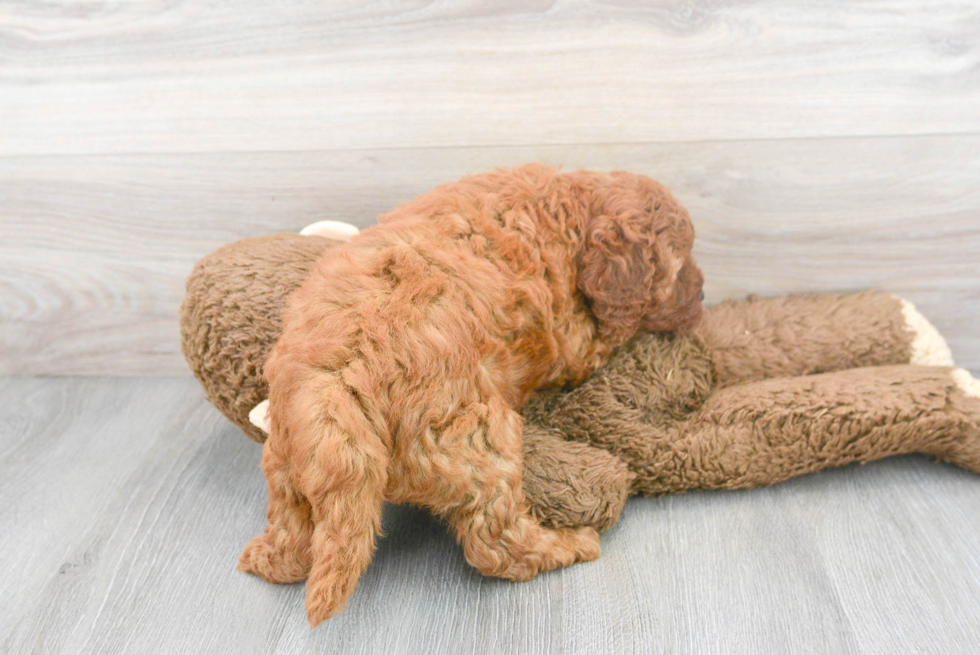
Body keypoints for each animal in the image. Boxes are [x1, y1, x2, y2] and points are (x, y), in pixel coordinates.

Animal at [238, 163, 704, 624]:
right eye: (679, 266)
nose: (702, 292)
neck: (573, 205)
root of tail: (336, 387)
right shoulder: (571, 340)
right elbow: (599, 341)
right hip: (479, 441)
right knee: (497, 546)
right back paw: (570, 544)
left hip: (286, 463)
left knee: (292, 529)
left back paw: (263, 558)